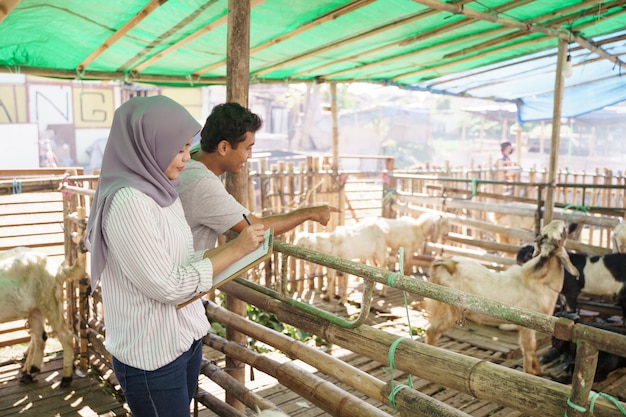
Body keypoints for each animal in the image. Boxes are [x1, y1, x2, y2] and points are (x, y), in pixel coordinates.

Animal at [0, 247, 84, 386]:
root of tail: (58, 270)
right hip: (36, 309)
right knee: (41, 337)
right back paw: (31, 372)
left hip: (49, 302)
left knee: (65, 336)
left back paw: (66, 378)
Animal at [422, 219, 576, 376]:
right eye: (562, 233)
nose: (561, 221)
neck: (539, 281)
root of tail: (449, 264)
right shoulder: (527, 326)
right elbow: (529, 348)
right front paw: (530, 373)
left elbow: (531, 349)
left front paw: (538, 370)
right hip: (449, 309)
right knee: (432, 331)